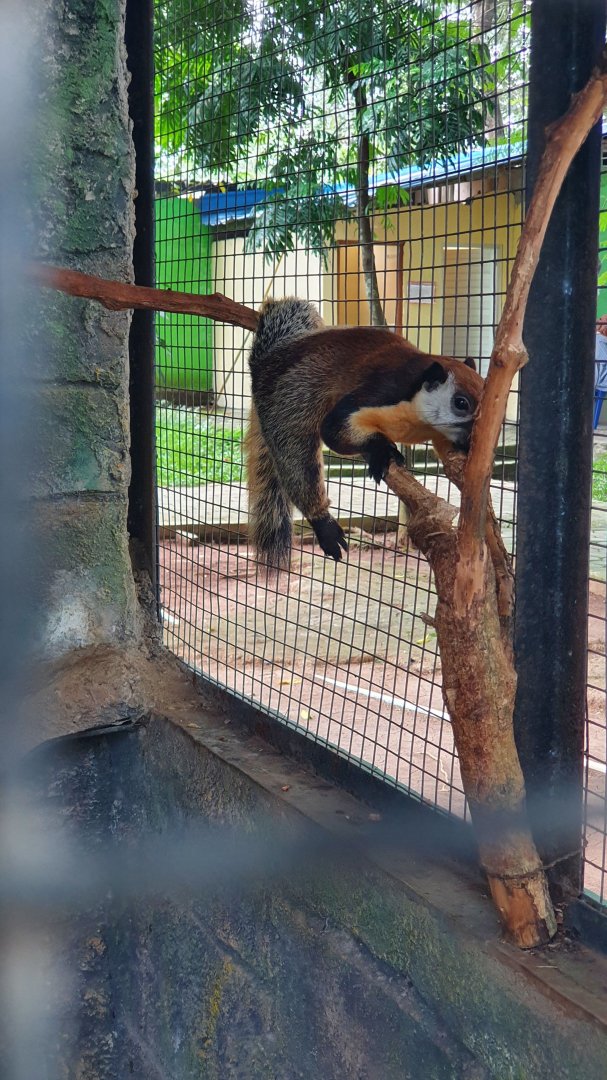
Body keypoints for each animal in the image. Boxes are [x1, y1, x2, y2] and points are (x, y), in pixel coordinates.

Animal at [245, 297, 484, 570]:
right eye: (461, 403)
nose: (472, 440)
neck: (419, 422)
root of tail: (266, 360)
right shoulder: (379, 393)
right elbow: (333, 430)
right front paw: (381, 451)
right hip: (288, 403)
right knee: (296, 460)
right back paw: (322, 522)